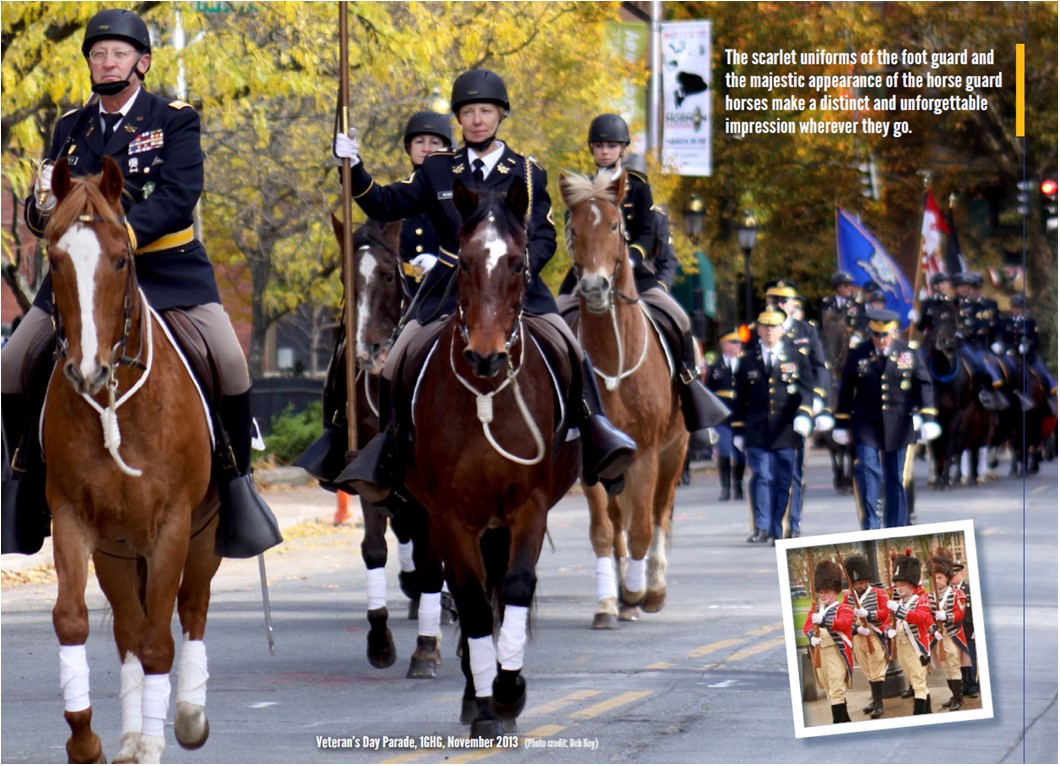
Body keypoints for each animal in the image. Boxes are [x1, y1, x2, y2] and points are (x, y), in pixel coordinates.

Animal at [42, 154, 220, 762]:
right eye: (54, 258)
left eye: (121, 258)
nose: (87, 369)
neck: (117, 402)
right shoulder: (73, 516)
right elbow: (73, 621)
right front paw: (85, 737)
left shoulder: (173, 524)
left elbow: (160, 640)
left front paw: (154, 740)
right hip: (118, 550)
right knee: (127, 629)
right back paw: (128, 731)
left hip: (203, 534)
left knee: (190, 609)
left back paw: (186, 716)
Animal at [398, 180, 580, 737]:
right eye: (464, 262)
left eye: (519, 264)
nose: (485, 355)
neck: (485, 397)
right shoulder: (448, 515)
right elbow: (473, 601)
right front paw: (484, 703)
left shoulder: (529, 505)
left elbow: (515, 586)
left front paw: (508, 689)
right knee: (471, 592)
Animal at [563, 172, 686, 627]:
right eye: (573, 230)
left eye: (616, 226)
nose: (595, 288)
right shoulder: (592, 456)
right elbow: (604, 531)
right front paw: (607, 602)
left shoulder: (648, 451)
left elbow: (643, 528)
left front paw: (636, 592)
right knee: (619, 522)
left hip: (674, 453)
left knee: (659, 513)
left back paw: (651, 589)